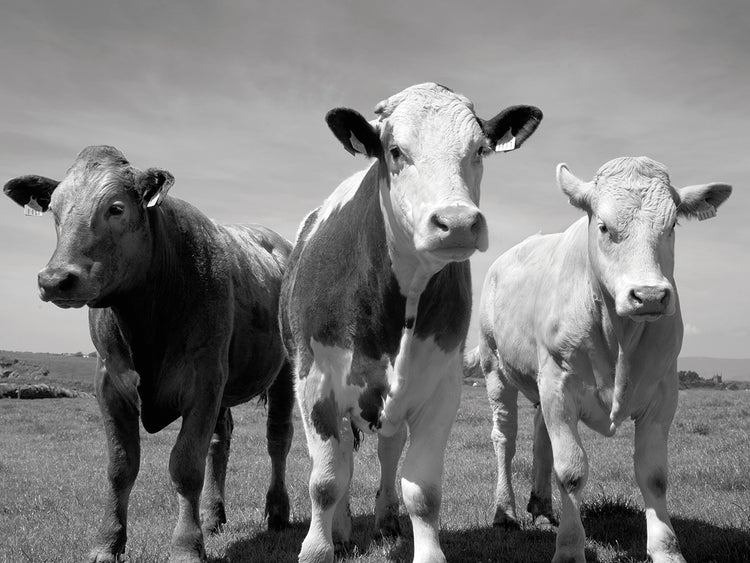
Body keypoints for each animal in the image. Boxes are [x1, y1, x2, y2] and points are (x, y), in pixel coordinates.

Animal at [3, 145, 296, 563]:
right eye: (55, 209)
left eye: (116, 208)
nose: (55, 279)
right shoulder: (110, 383)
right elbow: (121, 466)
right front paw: (107, 542)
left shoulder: (203, 380)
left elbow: (185, 464)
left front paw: (186, 546)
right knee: (220, 442)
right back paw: (213, 516)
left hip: (284, 369)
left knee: (278, 438)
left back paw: (277, 511)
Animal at [279, 83, 542, 563]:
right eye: (396, 151)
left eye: (480, 149)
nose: (457, 222)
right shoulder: (314, 381)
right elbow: (325, 480)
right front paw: (318, 548)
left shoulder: (440, 387)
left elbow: (422, 490)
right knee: (342, 460)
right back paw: (341, 529)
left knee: (386, 451)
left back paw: (383, 522)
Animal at [472, 156, 732, 563]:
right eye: (604, 226)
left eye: (672, 225)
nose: (649, 295)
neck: (618, 337)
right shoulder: (558, 385)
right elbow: (571, 470)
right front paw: (569, 548)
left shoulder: (663, 392)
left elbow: (654, 474)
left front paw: (666, 549)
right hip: (495, 368)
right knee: (505, 438)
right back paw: (505, 512)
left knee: (540, 436)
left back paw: (542, 507)